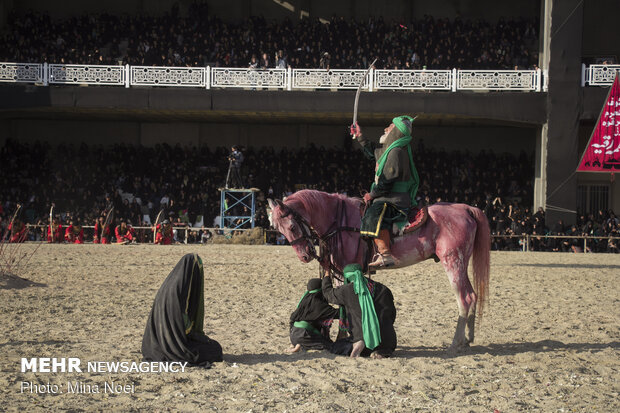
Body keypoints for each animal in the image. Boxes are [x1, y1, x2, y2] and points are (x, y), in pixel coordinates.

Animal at [268, 189, 492, 348]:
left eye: (292, 227)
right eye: (278, 229)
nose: (305, 256)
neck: (341, 222)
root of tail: (465, 208)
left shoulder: (345, 271)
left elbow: (343, 305)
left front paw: (343, 337)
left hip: (453, 263)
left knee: (464, 299)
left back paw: (456, 342)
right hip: (461, 264)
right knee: (472, 295)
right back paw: (468, 338)